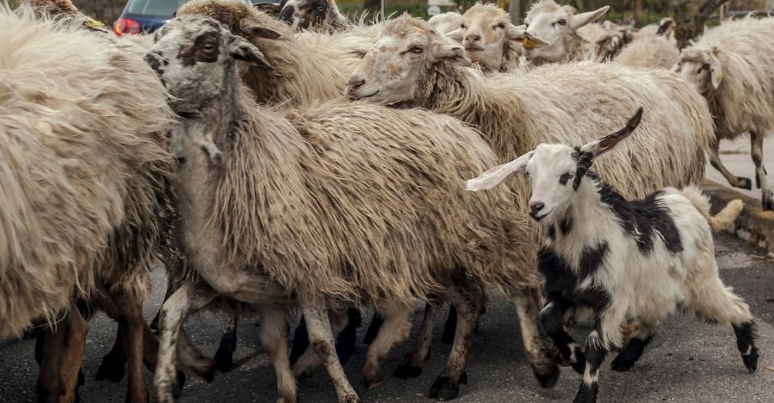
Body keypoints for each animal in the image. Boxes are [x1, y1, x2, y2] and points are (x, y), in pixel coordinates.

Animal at [146, 14, 557, 403]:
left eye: (207, 45)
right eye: (159, 34)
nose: (149, 62)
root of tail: (456, 126)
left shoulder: (309, 270)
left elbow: (322, 338)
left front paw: (343, 390)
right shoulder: (244, 284)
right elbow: (176, 314)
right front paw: (178, 376)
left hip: (476, 234)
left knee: (518, 288)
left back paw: (534, 365)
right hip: (429, 252)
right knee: (464, 298)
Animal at [466, 108, 759, 403]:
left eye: (567, 175)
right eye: (529, 174)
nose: (537, 207)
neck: (580, 246)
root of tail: (688, 200)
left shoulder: (612, 301)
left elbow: (595, 346)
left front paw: (585, 393)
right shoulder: (562, 292)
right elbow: (548, 321)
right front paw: (576, 359)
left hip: (701, 280)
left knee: (735, 306)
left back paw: (750, 356)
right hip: (657, 285)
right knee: (656, 312)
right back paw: (627, 357)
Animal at [675, 17, 774, 209]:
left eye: (705, 66)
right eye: (681, 65)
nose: (683, 89)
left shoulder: (757, 118)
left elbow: (756, 156)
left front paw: (767, 195)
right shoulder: (716, 127)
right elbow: (714, 160)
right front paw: (742, 182)